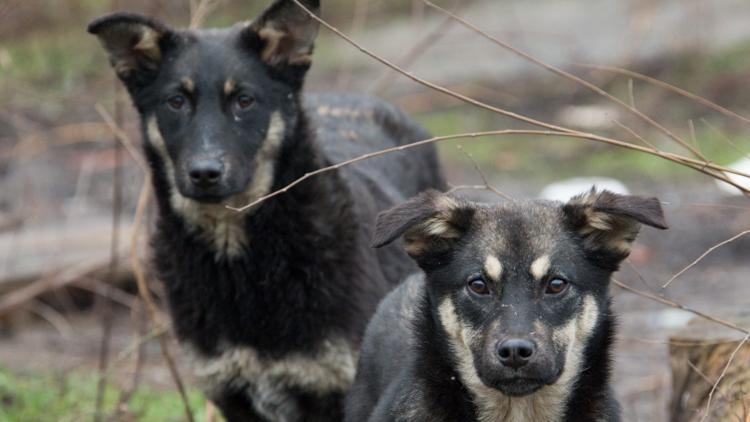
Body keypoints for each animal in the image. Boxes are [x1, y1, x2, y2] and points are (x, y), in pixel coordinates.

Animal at [86, 1, 446, 420]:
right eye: (176, 101)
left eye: (244, 100)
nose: (204, 173)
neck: (242, 264)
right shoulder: (231, 391)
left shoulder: (333, 385)